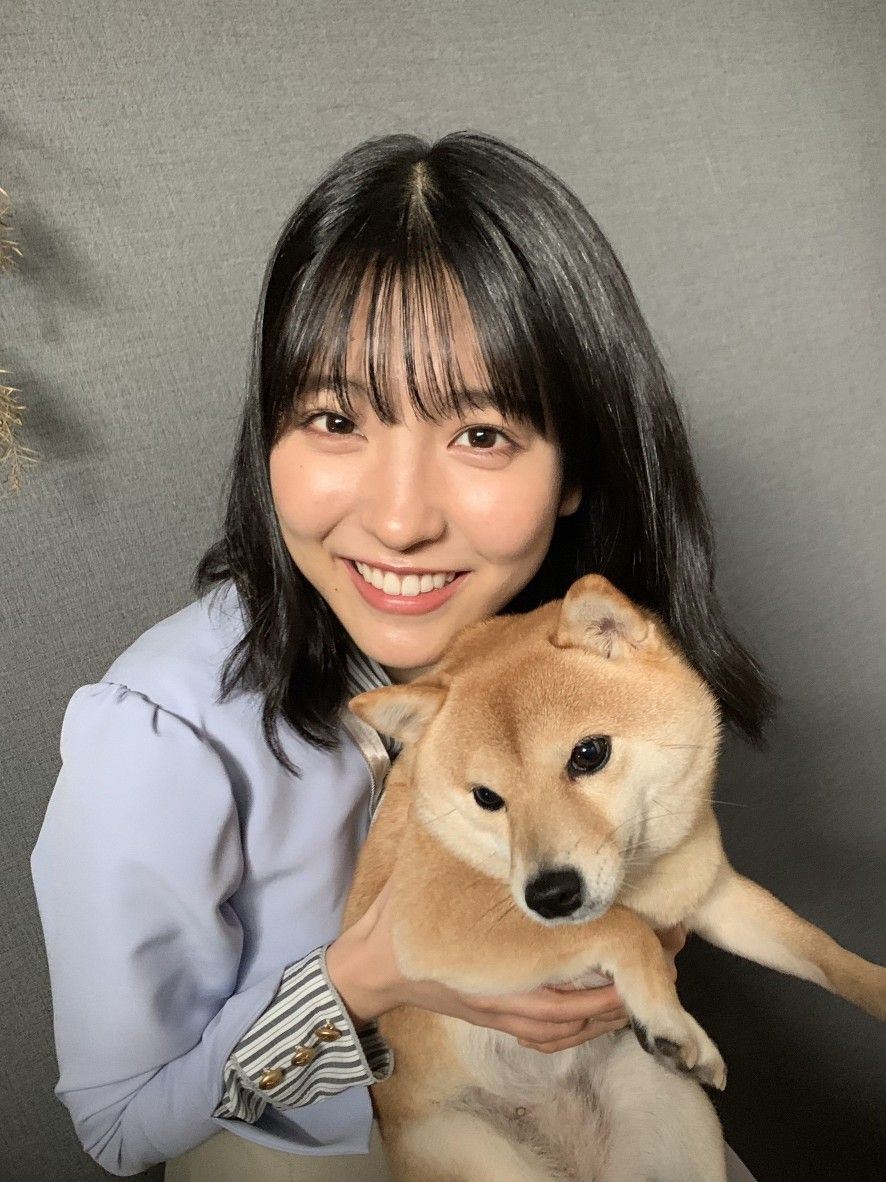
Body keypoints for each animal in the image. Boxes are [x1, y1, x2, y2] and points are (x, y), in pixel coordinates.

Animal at [342, 573, 886, 1182]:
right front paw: (672, 1020)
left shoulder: (713, 895)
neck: (641, 877)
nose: (550, 895)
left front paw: (877, 988)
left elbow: (822, 951)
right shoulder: (429, 922)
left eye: (589, 753)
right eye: (486, 797)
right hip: (470, 1147)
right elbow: (624, 929)